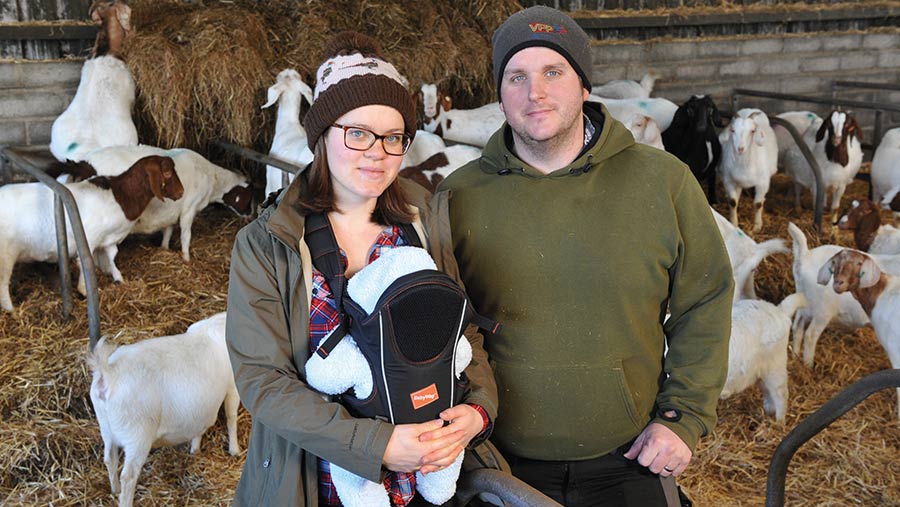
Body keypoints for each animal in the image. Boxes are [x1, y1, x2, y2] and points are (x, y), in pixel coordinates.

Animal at [0, 157, 183, 312]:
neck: (121, 196)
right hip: (6, 256)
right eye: (167, 172)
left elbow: (112, 256)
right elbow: (85, 264)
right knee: (2, 285)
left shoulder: (109, 237)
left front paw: (119, 278)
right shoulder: (89, 238)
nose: (181, 192)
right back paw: (12, 311)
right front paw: (84, 291)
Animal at [87, 312, 239, 507]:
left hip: (106, 427)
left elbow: (200, 425)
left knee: (109, 459)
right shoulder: (233, 387)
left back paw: (115, 490)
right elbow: (231, 418)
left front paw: (195, 449)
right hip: (138, 436)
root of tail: (107, 373)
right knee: (128, 476)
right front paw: (235, 450)